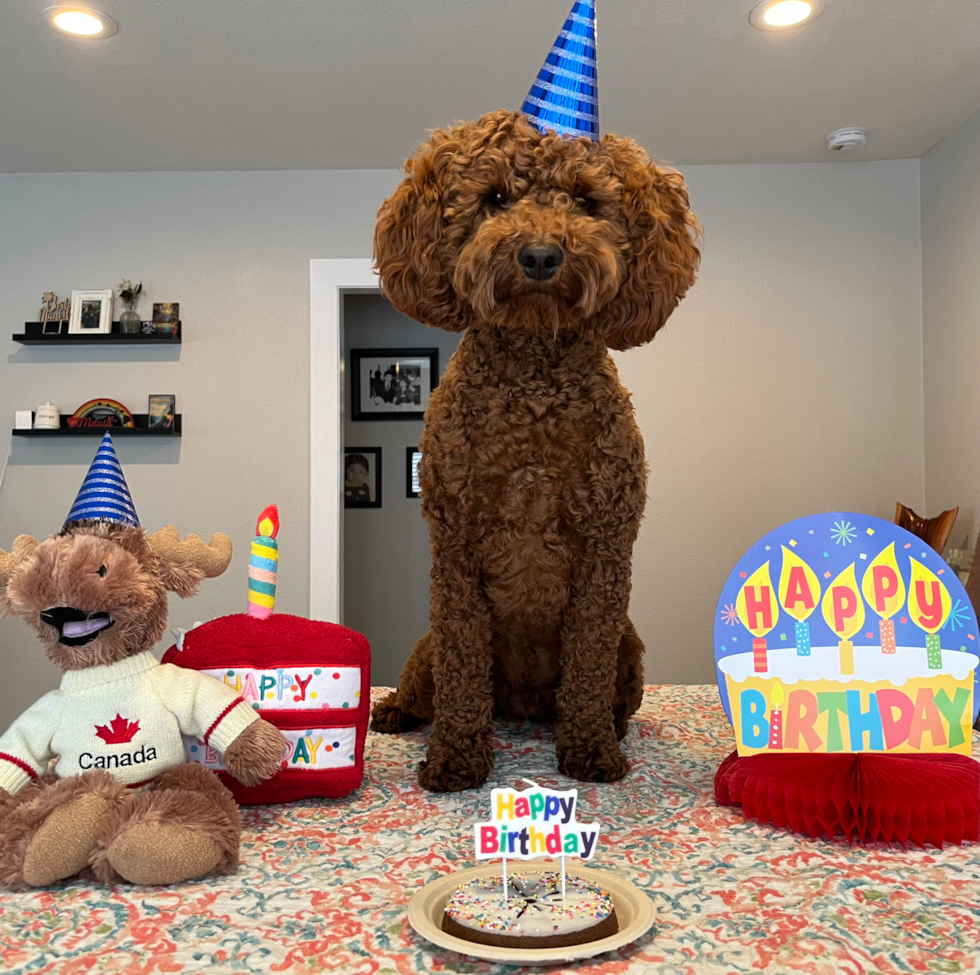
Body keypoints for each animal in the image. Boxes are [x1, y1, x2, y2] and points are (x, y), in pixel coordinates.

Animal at [368, 108, 696, 792]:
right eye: (494, 198)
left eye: (586, 201)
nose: (541, 255)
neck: (533, 376)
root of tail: (519, 705)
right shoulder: (456, 551)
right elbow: (463, 669)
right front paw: (456, 758)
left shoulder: (604, 551)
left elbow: (588, 668)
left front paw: (592, 751)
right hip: (425, 648)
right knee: (425, 688)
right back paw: (393, 712)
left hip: (632, 648)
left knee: (609, 689)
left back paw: (609, 727)